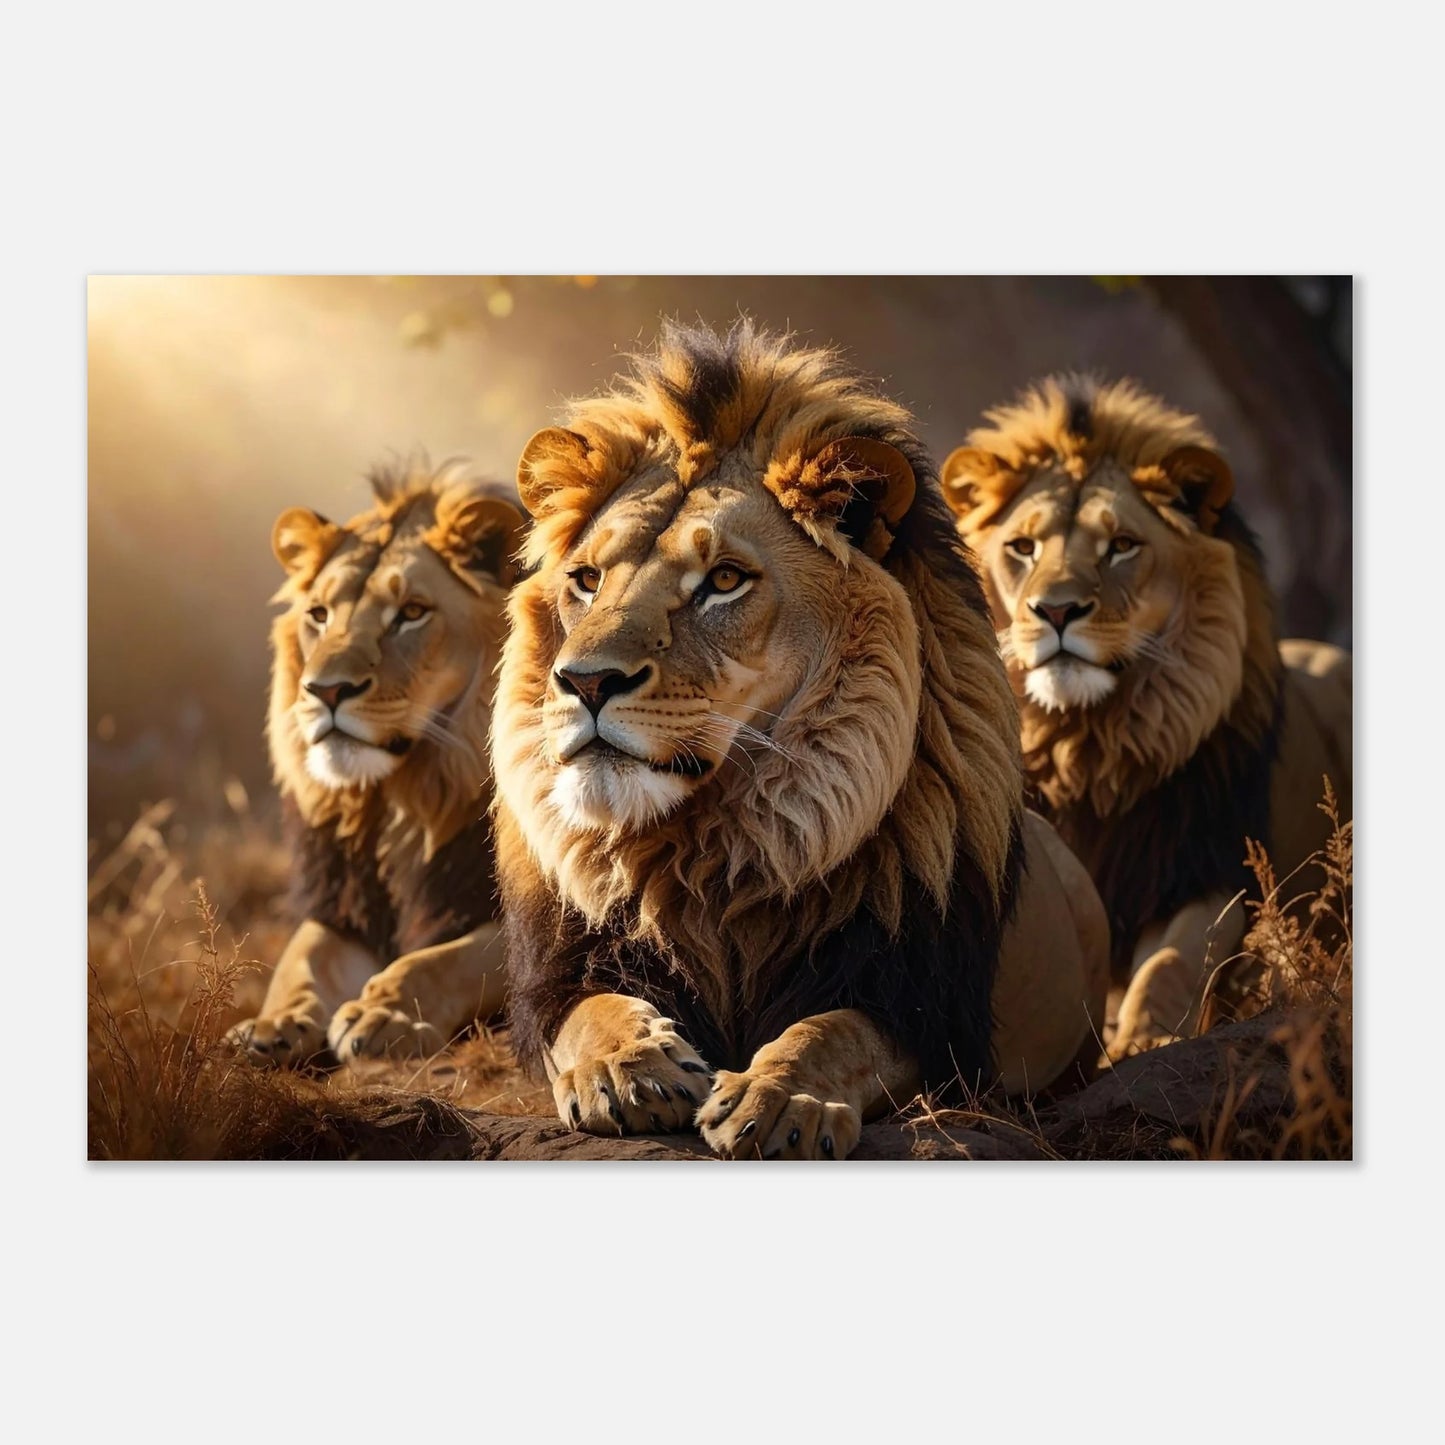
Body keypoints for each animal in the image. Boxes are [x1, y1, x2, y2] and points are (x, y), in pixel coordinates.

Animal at [228, 458, 524, 1068]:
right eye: (318, 615)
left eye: (411, 614)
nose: (325, 690)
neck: (404, 805)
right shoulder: (346, 900)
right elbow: (301, 955)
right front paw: (275, 1023)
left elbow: (444, 959)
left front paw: (383, 1014)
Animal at [492, 320, 1110, 1159]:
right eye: (586, 579)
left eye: (723, 580)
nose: (584, 681)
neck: (715, 844)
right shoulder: (565, 969)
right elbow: (591, 1013)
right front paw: (631, 1066)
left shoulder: (924, 1007)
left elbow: (830, 1032)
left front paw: (777, 1098)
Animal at [940, 375, 1352, 1056]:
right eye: (1022, 548)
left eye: (1122, 547)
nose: (1056, 611)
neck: (1082, 746)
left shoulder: (1205, 866)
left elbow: (1171, 960)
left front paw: (1144, 1040)